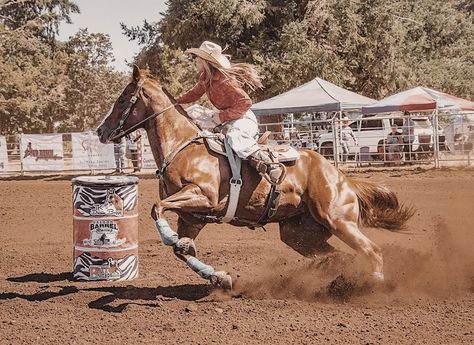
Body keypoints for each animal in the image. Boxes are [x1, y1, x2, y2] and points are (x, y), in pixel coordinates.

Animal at [97, 66, 412, 288]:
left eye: (122, 99)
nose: (101, 131)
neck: (183, 147)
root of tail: (342, 178)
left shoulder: (202, 196)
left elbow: (156, 209)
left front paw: (173, 239)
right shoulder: (191, 218)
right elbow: (181, 251)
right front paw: (219, 276)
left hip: (337, 220)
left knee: (372, 251)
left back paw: (372, 286)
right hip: (299, 234)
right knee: (339, 256)